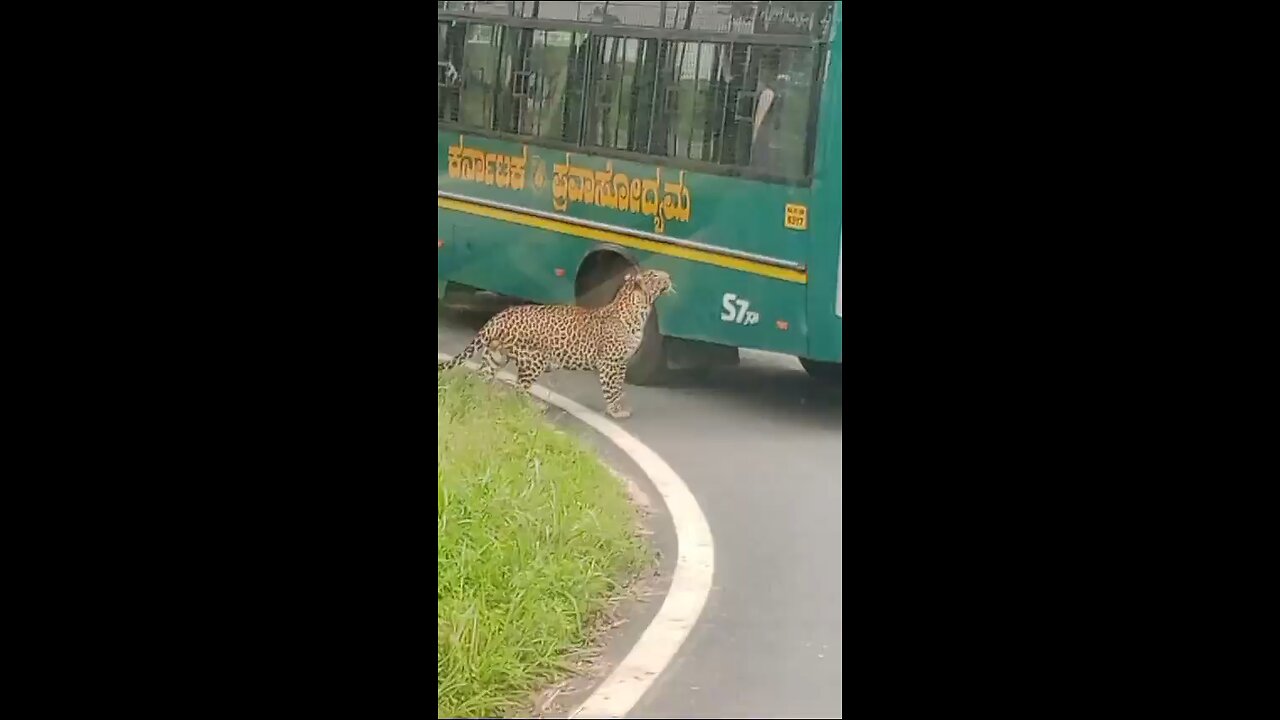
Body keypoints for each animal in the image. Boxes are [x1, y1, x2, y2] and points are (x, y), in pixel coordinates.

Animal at [437, 267, 680, 415]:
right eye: (655, 275)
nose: (669, 277)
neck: (639, 309)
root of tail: (498, 316)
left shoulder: (620, 362)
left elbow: (619, 388)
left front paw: (619, 406)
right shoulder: (612, 363)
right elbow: (613, 387)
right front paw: (616, 411)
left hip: (495, 356)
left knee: (482, 378)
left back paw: (483, 398)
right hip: (532, 361)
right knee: (519, 389)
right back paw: (533, 407)